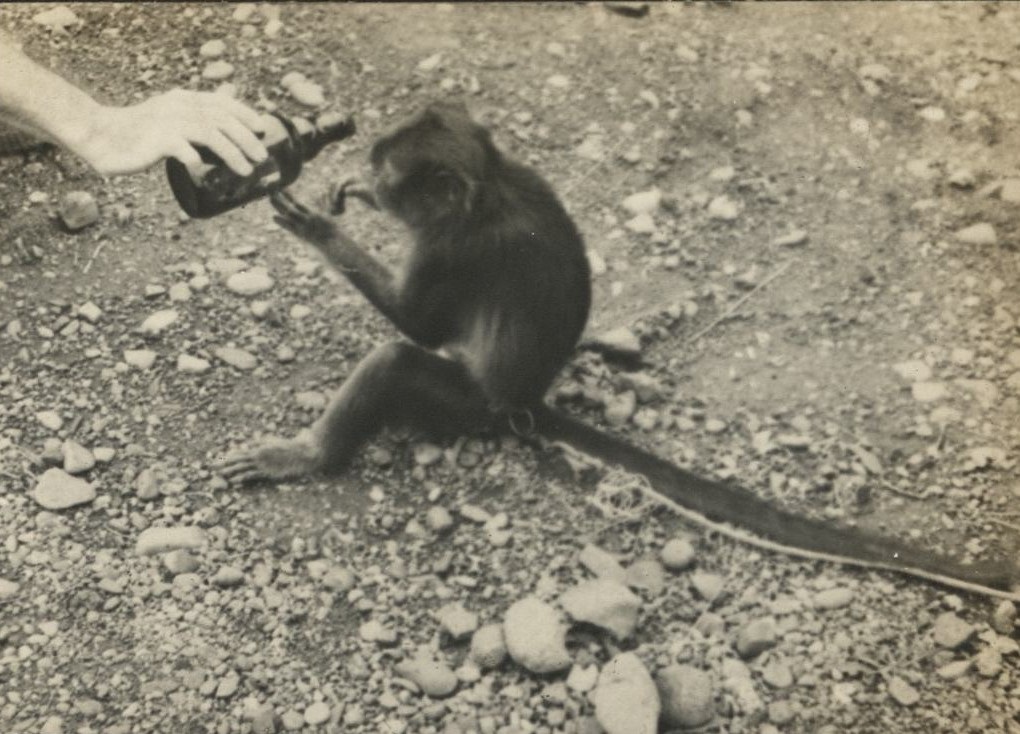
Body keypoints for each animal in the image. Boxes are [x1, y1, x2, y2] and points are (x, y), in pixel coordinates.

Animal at [219, 101, 1019, 602]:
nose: (368, 182)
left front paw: (318, 225)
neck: (490, 188)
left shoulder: (455, 248)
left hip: (469, 407)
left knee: (397, 364)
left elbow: (419, 328)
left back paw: (306, 454)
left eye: (389, 175)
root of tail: (523, 403)